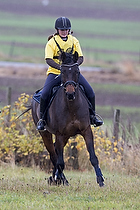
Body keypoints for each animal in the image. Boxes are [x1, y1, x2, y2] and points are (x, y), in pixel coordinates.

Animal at [31, 53, 104, 186]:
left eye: (77, 71)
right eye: (63, 71)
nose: (70, 93)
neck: (72, 107)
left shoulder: (86, 130)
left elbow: (93, 157)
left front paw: (100, 180)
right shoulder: (59, 134)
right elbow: (60, 162)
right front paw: (58, 178)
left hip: (66, 136)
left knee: (55, 151)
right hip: (45, 134)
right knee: (53, 154)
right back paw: (59, 179)